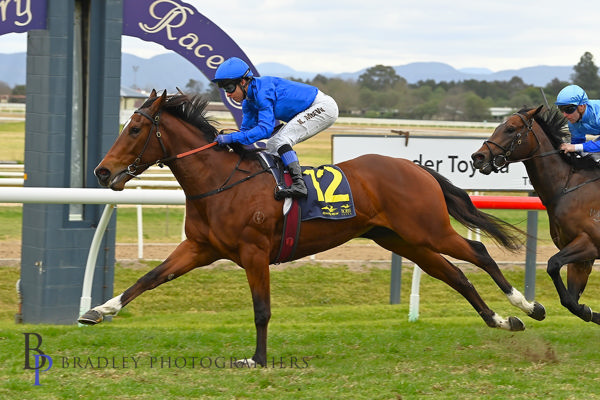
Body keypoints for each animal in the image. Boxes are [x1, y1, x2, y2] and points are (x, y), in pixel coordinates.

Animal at [77, 90, 548, 366]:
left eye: (136, 128)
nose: (102, 171)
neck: (221, 180)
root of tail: (415, 167)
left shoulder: (253, 252)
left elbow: (262, 310)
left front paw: (257, 359)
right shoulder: (199, 247)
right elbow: (149, 278)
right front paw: (99, 310)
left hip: (428, 230)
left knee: (479, 255)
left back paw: (528, 306)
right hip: (404, 240)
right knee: (454, 275)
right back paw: (502, 321)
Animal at [474, 105, 600, 324]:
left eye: (510, 128)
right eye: (498, 126)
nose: (478, 157)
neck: (568, 187)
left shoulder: (589, 242)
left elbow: (552, 264)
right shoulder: (581, 258)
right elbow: (572, 302)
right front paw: (586, 311)